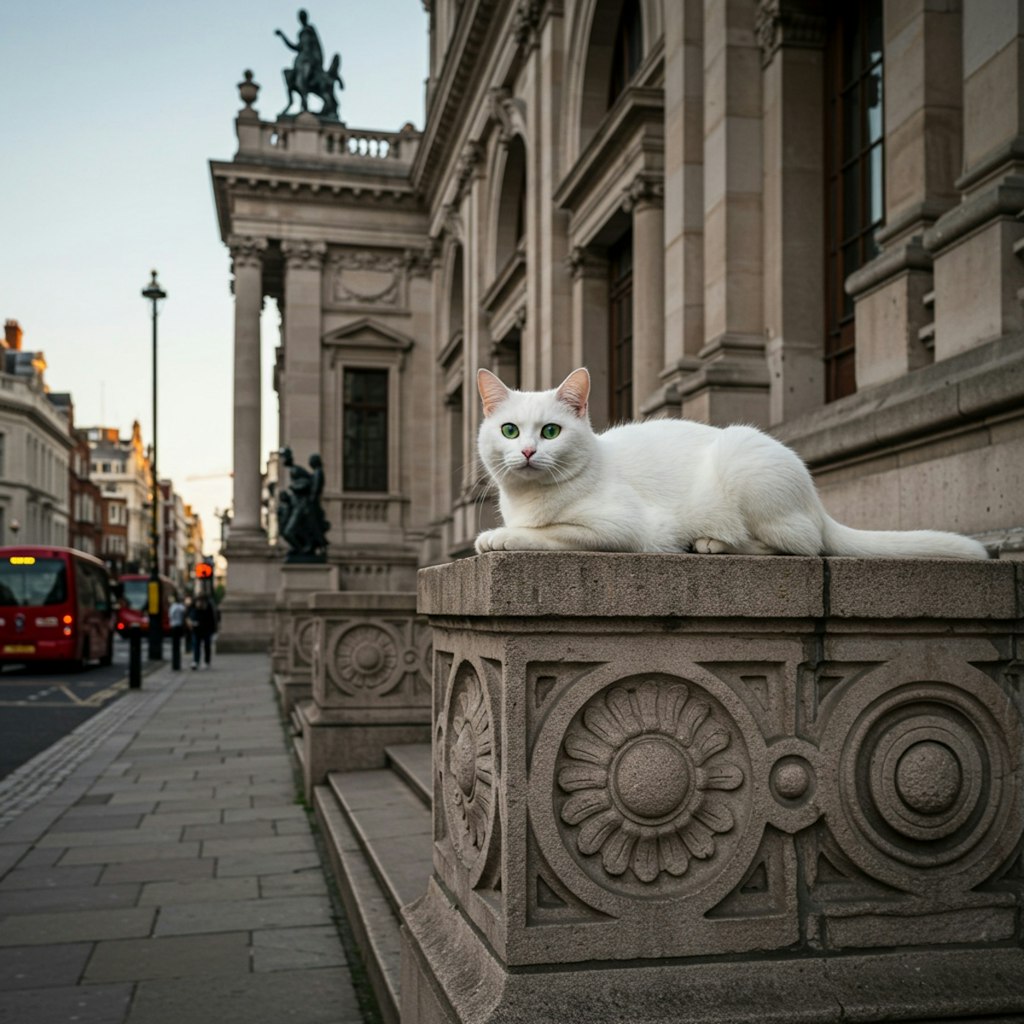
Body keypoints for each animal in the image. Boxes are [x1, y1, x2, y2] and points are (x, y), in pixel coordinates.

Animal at [475, 368, 987, 561]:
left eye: (550, 432)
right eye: (510, 431)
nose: (527, 452)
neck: (528, 500)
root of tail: (817, 502)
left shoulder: (621, 528)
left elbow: (547, 534)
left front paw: (498, 537)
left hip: (743, 467)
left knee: (801, 546)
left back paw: (713, 543)